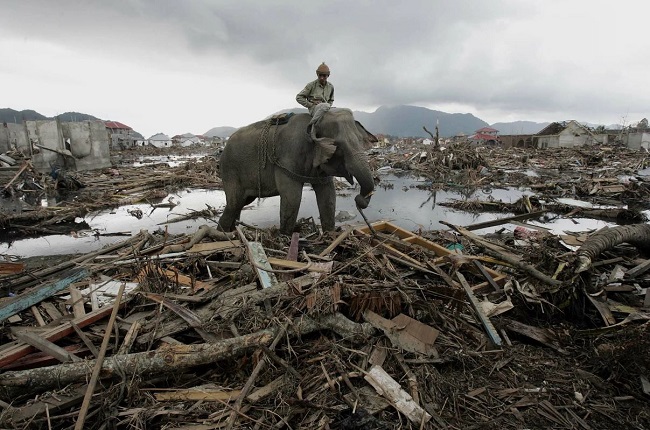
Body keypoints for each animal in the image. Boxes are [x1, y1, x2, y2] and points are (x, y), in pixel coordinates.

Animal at [219, 109, 378, 233]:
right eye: (338, 146)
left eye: (361, 141)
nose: (359, 199)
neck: (312, 124)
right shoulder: (287, 156)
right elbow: (292, 197)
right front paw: (285, 237)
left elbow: (328, 196)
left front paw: (330, 235)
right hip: (230, 170)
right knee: (234, 203)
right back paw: (224, 234)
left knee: (241, 203)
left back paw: (232, 231)